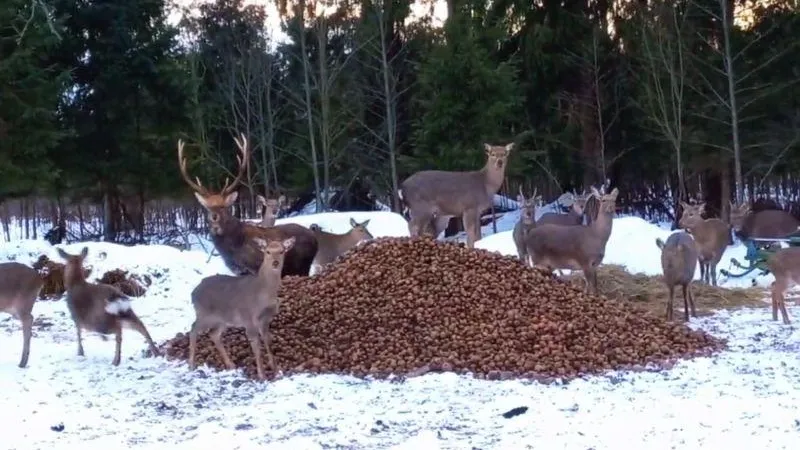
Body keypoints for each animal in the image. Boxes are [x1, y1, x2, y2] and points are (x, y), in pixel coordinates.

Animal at [178, 134, 318, 276]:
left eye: (223, 206)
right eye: (207, 207)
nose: (214, 217)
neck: (233, 249)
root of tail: (314, 238)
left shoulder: (255, 266)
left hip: (302, 266)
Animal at [188, 236, 296, 380]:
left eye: (282, 251)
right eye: (267, 251)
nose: (275, 263)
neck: (263, 293)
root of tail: (193, 293)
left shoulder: (266, 319)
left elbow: (268, 341)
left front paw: (277, 371)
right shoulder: (248, 318)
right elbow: (256, 346)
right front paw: (262, 375)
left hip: (222, 319)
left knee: (213, 334)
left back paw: (231, 364)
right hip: (204, 313)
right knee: (193, 328)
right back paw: (191, 364)